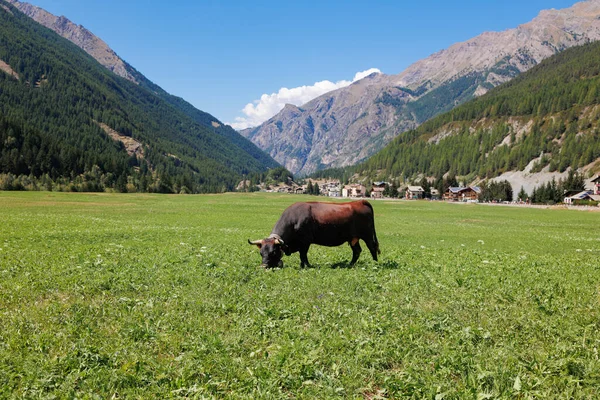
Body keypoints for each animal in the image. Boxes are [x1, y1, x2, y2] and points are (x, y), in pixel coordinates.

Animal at [247, 200, 380, 268]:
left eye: (273, 252)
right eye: (261, 253)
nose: (264, 266)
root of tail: (359, 201)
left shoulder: (305, 241)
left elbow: (303, 255)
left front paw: (306, 266)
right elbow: (302, 255)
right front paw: (302, 266)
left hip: (367, 235)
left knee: (372, 247)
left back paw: (375, 263)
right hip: (353, 238)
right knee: (357, 251)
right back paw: (350, 265)